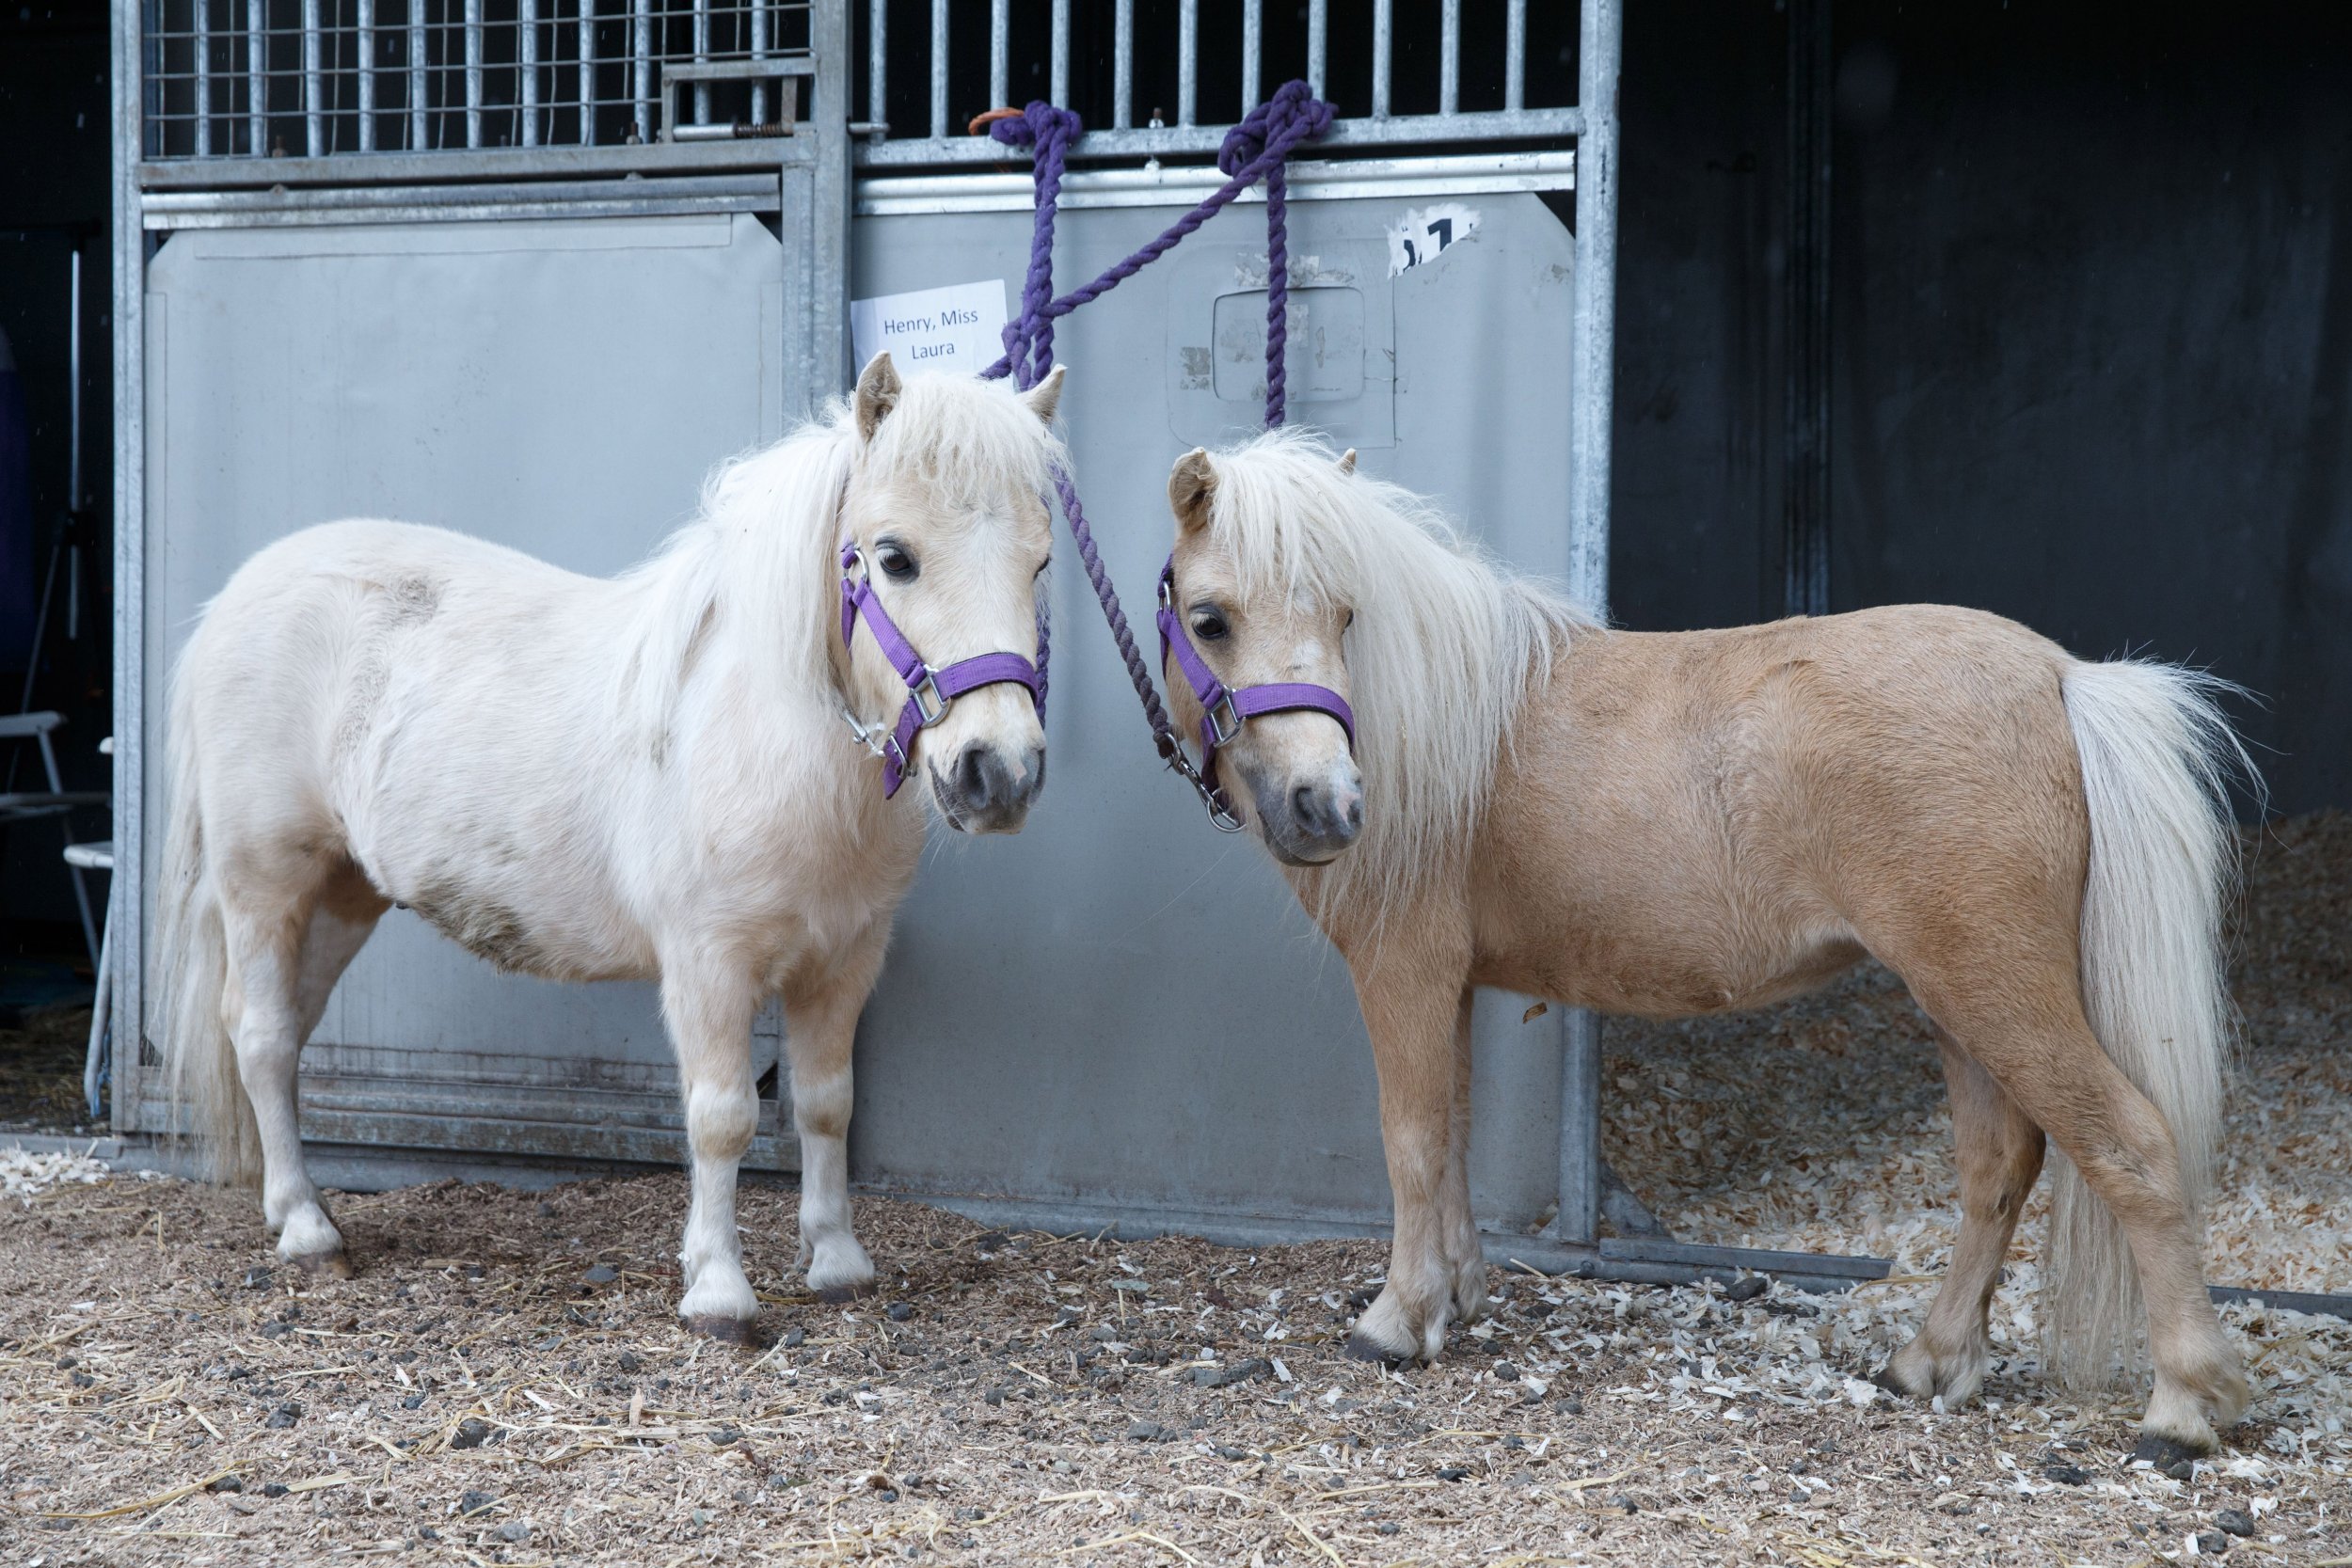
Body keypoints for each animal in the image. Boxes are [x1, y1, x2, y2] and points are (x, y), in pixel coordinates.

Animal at [170, 355, 1073, 1335]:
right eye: (896, 556)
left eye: (1041, 561)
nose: (1000, 773)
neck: (767, 735)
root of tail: (232, 601)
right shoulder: (708, 965)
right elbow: (721, 1116)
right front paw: (717, 1291)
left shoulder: (844, 960)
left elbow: (828, 1105)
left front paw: (837, 1260)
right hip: (266, 884)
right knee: (261, 1036)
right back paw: (307, 1229)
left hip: (343, 893)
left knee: (284, 1031)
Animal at [1157, 430, 2258, 1457]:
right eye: (1211, 619)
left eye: (1345, 616)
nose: (1328, 807)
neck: (1437, 723)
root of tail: (2060, 678)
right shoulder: (1452, 983)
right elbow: (1456, 1131)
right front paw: (1458, 1295)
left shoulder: (1404, 971)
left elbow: (1412, 1139)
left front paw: (1398, 1318)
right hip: (1960, 998)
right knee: (1998, 1165)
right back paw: (1930, 1360)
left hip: (1994, 988)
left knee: (2133, 1147)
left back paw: (2179, 1407)